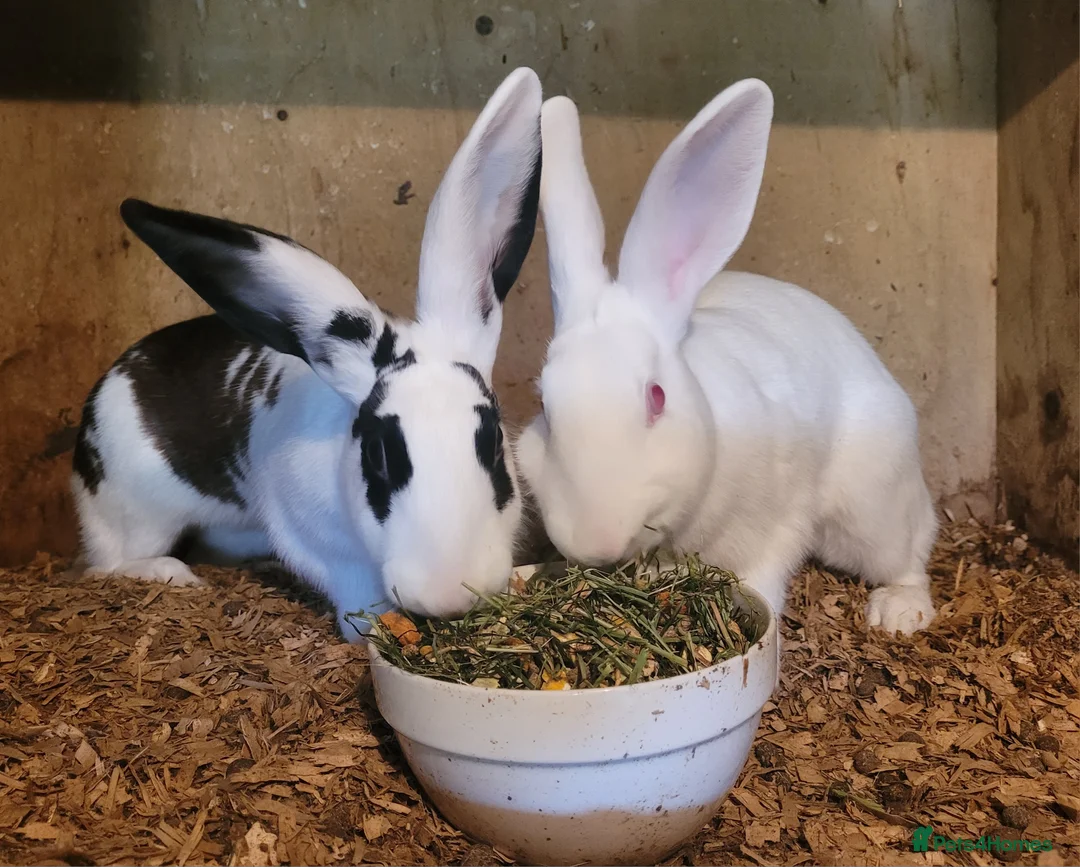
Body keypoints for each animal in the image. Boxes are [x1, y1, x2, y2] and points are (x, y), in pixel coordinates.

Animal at [71, 67, 544, 640]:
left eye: (493, 441)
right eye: (377, 455)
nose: (449, 591)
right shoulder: (322, 544)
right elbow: (356, 595)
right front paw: (375, 633)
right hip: (137, 509)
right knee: (108, 564)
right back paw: (172, 573)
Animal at [516, 79, 938, 635]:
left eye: (657, 397)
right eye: (545, 408)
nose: (597, 540)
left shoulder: (778, 521)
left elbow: (763, 574)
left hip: (873, 507)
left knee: (907, 555)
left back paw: (899, 612)